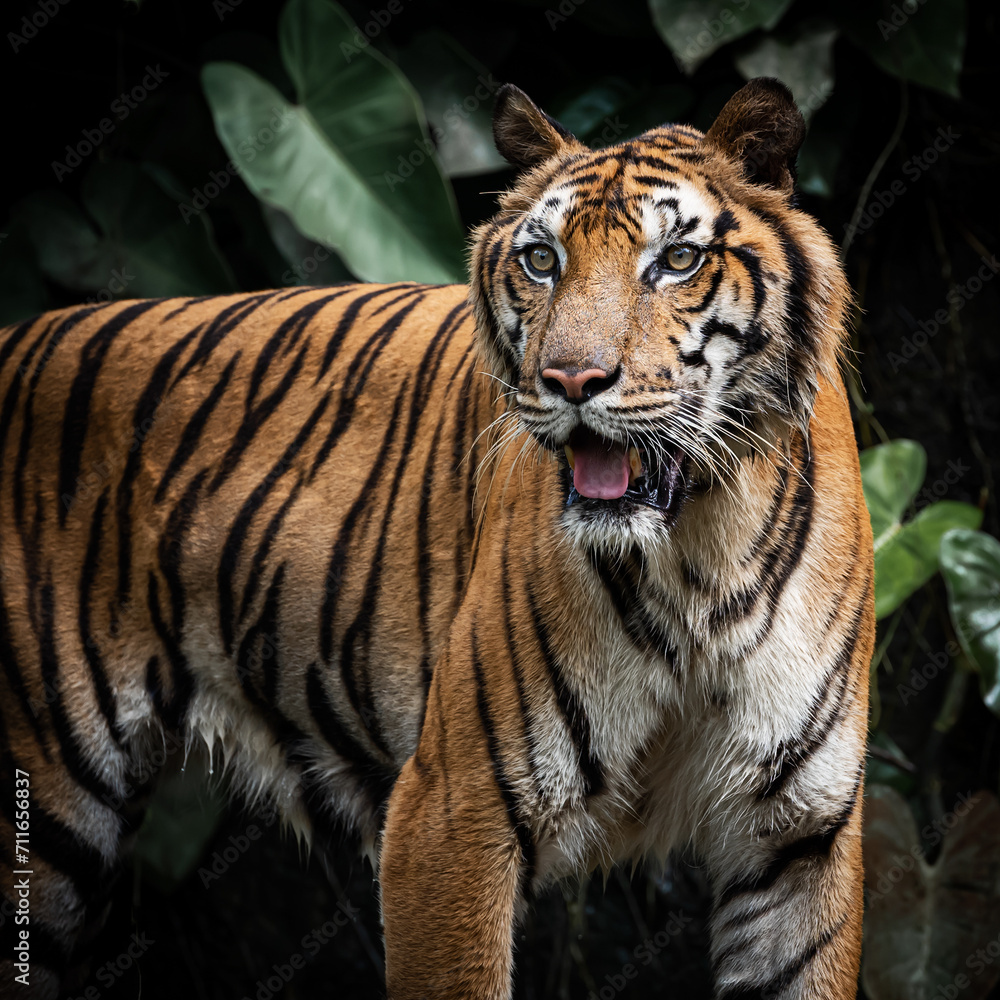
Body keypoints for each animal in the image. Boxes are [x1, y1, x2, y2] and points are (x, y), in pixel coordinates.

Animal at [0, 76, 873, 999]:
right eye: (542, 260)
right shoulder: (452, 812)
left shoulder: (798, 835)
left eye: (676, 260)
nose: (572, 381)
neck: (703, 549)